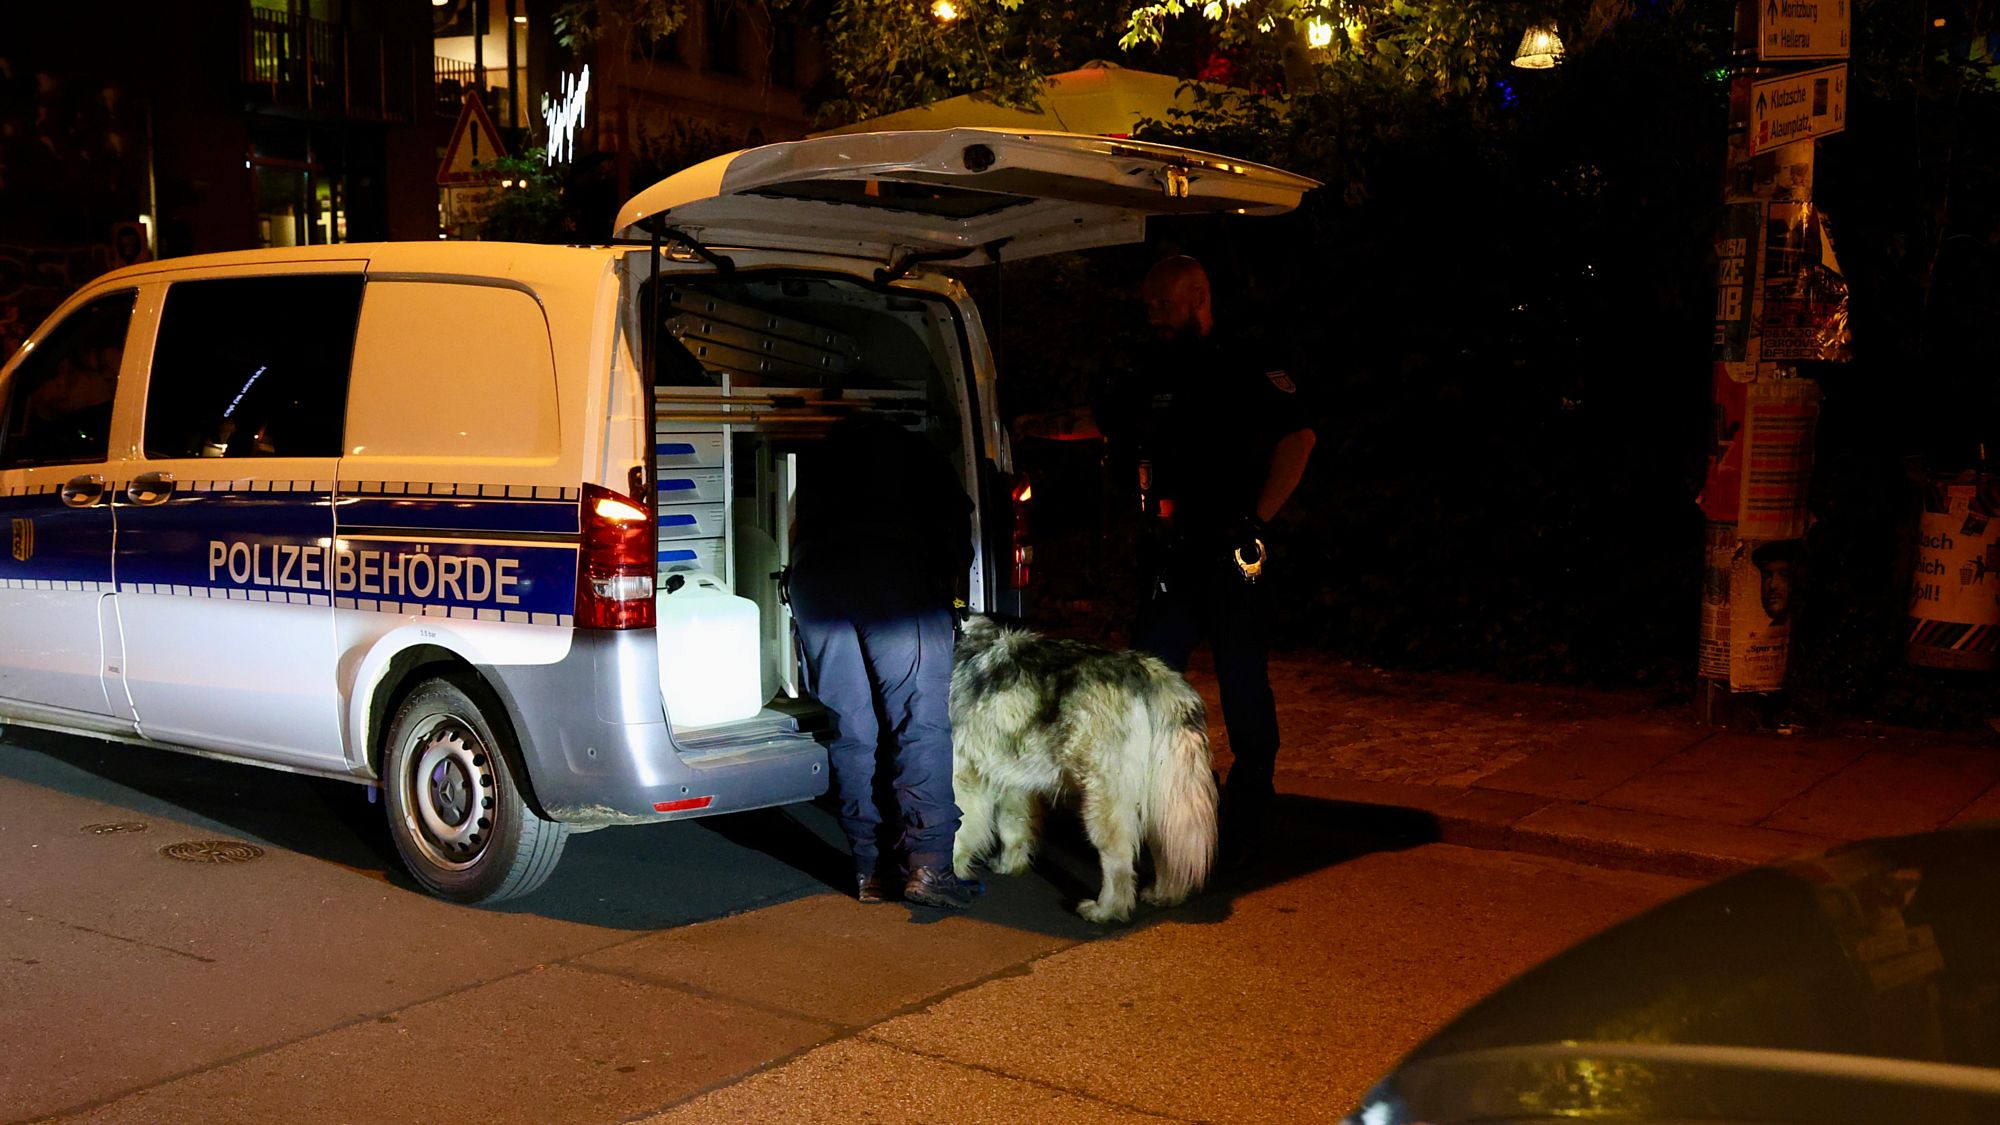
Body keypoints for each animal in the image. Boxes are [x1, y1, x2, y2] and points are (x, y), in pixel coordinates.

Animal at [948, 612, 1216, 920]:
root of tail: (1149, 671)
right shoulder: (1009, 778)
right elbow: (1011, 826)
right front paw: (1010, 865)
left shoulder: (964, 776)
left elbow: (958, 828)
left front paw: (949, 875)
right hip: (1161, 795)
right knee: (1166, 846)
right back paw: (1165, 894)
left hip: (1103, 800)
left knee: (1118, 859)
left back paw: (1105, 910)